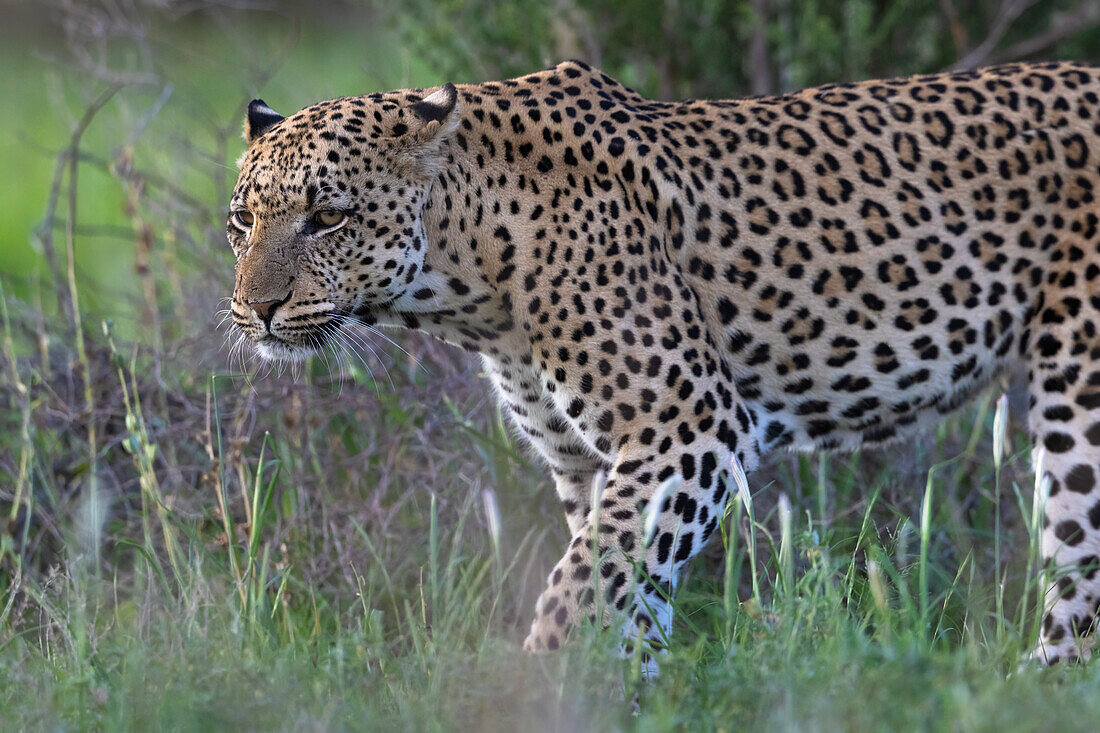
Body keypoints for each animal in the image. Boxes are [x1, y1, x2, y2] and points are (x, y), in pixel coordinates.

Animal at [225, 58, 1100, 660]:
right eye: (241, 221)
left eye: (328, 217)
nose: (256, 308)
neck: (473, 277)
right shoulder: (587, 462)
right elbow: (627, 598)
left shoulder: (689, 428)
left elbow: (579, 589)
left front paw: (544, 678)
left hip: (1080, 395)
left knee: (1078, 582)